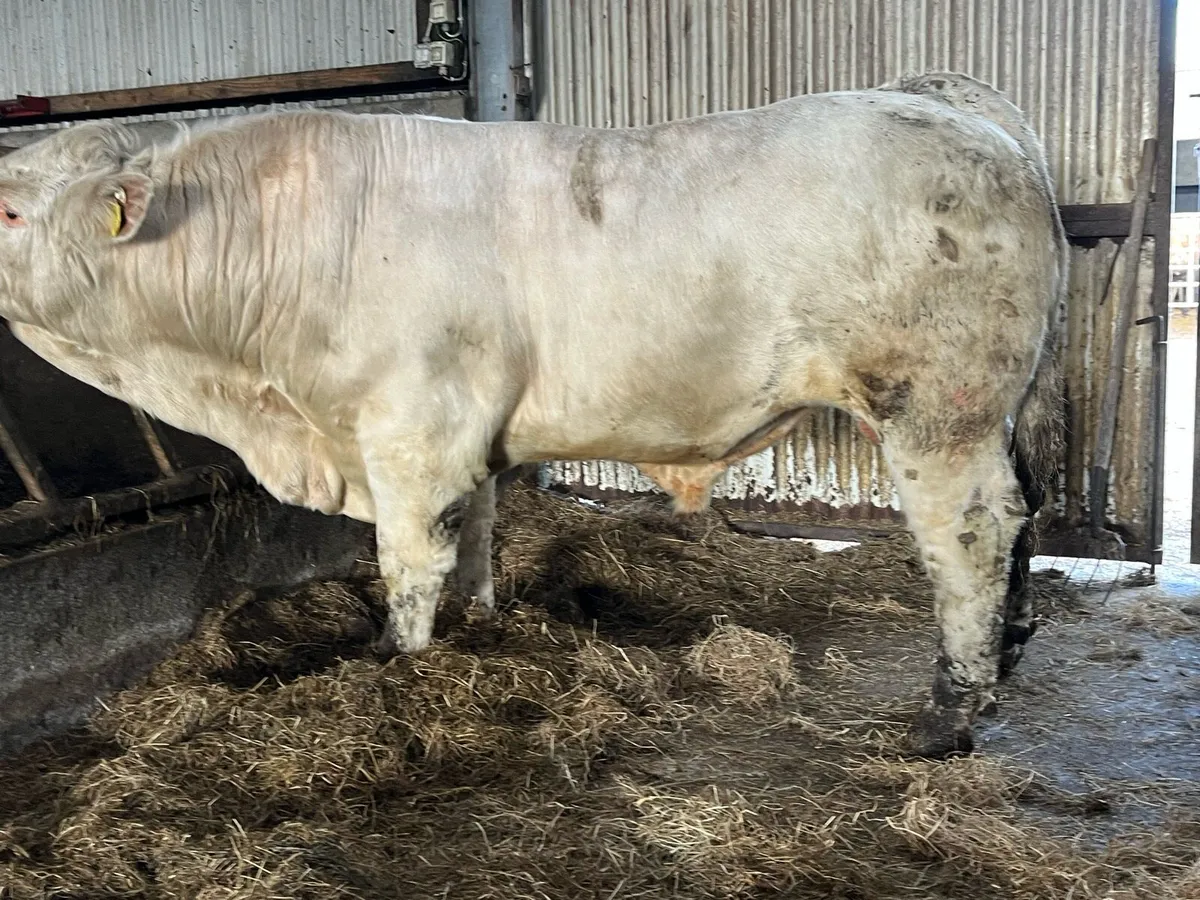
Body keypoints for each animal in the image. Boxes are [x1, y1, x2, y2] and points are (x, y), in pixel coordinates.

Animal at [0, 72, 1065, 758]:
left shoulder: (411, 430)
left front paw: (395, 670)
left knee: (971, 533)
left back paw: (948, 715)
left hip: (937, 409)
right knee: (1026, 510)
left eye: (10, 211)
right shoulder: (460, 436)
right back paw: (1008, 650)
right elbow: (473, 540)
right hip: (994, 411)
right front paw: (479, 630)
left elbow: (409, 565)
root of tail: (953, 104)